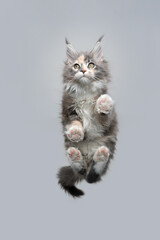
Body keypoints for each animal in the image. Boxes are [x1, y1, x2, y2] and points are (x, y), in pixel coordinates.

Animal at [57, 35, 118, 197]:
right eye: (76, 66)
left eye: (91, 65)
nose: (83, 70)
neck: (85, 91)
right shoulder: (69, 110)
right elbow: (75, 122)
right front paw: (75, 132)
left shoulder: (104, 123)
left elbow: (100, 116)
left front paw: (104, 103)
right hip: (70, 145)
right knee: (82, 170)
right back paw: (75, 156)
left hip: (108, 144)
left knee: (93, 175)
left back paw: (101, 155)